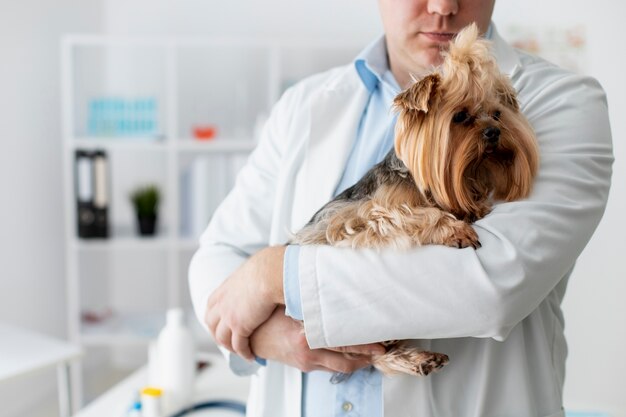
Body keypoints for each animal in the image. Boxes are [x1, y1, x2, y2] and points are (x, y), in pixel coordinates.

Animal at [290, 23, 540, 376]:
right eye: (460, 117)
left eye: (496, 114)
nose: (494, 132)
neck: (422, 184)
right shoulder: (360, 217)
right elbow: (411, 214)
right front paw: (455, 228)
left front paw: (474, 207)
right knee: (369, 353)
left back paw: (420, 359)